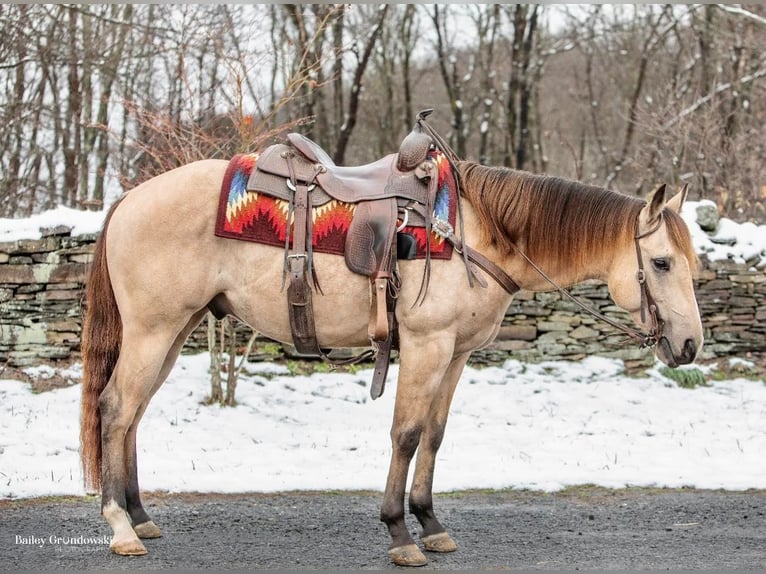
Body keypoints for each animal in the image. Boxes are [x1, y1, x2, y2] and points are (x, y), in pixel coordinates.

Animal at [81, 118, 704, 568]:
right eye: (662, 262)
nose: (691, 345)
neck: (478, 231)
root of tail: (129, 200)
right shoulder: (427, 346)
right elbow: (405, 435)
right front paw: (400, 533)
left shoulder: (456, 354)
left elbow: (434, 435)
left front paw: (431, 524)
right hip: (154, 329)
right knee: (115, 408)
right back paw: (120, 527)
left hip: (174, 330)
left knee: (132, 415)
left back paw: (140, 516)